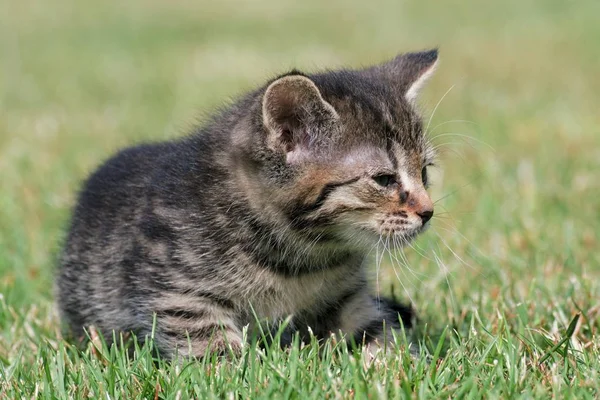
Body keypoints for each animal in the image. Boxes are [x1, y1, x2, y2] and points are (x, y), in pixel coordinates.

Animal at [57, 48, 436, 358]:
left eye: (423, 172)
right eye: (385, 180)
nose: (428, 212)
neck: (303, 256)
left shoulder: (349, 297)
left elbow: (377, 333)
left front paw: (398, 363)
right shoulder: (179, 293)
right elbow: (212, 345)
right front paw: (232, 372)